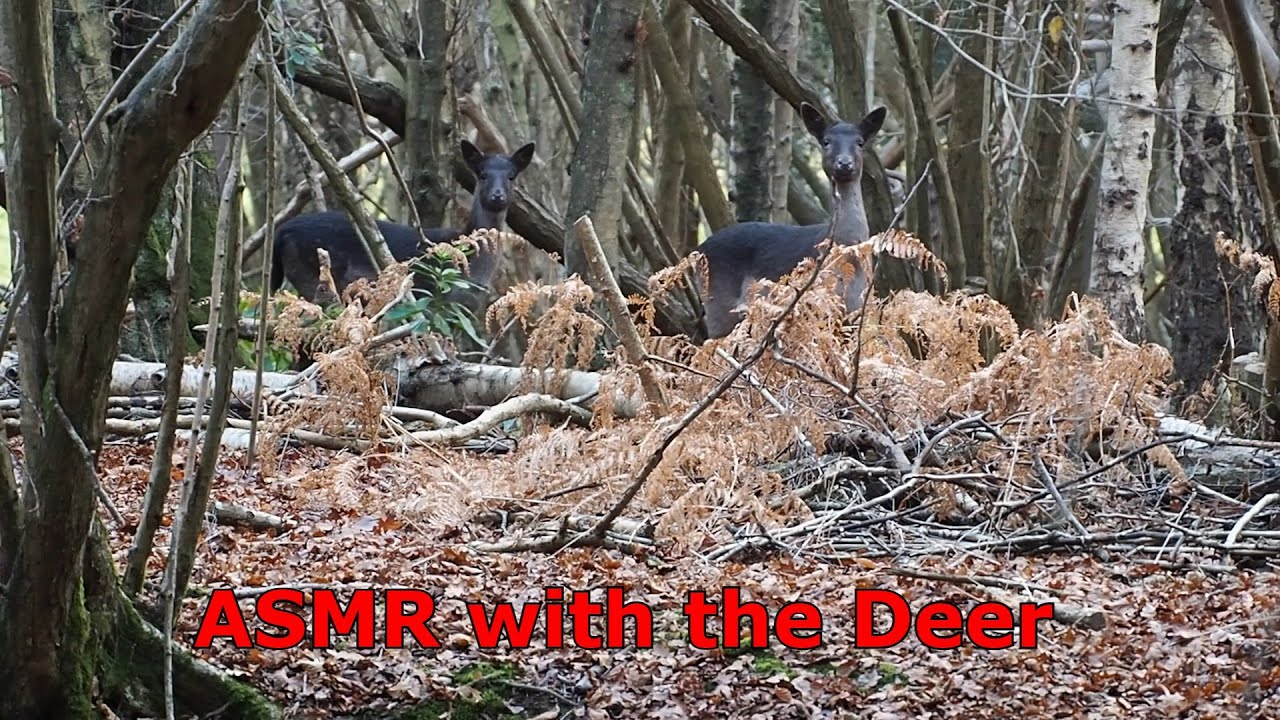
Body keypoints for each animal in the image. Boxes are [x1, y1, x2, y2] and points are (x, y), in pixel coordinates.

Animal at [270, 139, 536, 310]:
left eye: (511, 176)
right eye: (482, 175)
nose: (497, 196)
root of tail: (281, 233)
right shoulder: (430, 294)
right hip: (313, 275)